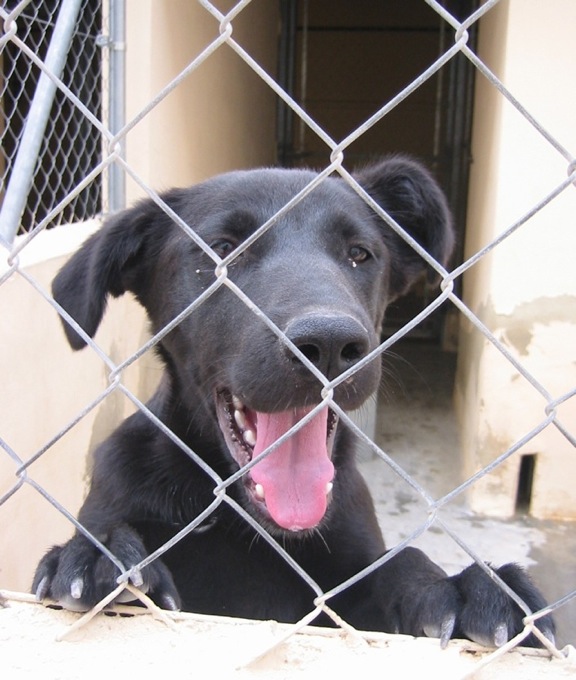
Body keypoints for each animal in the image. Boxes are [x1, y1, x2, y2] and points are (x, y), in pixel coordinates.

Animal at [31, 157, 552, 644]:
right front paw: (97, 557)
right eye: (223, 251)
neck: (235, 519)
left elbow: (400, 562)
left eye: (359, 254)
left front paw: (461, 589)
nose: (329, 343)